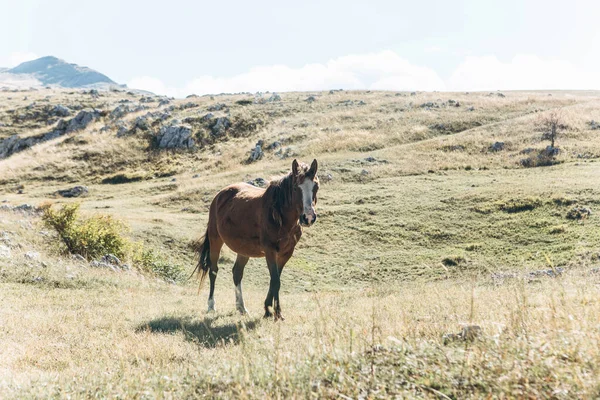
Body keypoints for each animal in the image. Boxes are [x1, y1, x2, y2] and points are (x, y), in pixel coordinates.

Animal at [195, 159, 322, 318]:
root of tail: (220, 195)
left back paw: (241, 308)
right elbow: (275, 281)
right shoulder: (270, 250)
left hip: (243, 250)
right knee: (213, 270)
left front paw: (271, 310)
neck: (279, 215)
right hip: (215, 240)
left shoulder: (286, 253)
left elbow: (275, 280)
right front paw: (273, 312)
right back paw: (211, 306)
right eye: (295, 188)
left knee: (237, 273)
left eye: (316, 186)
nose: (308, 218)